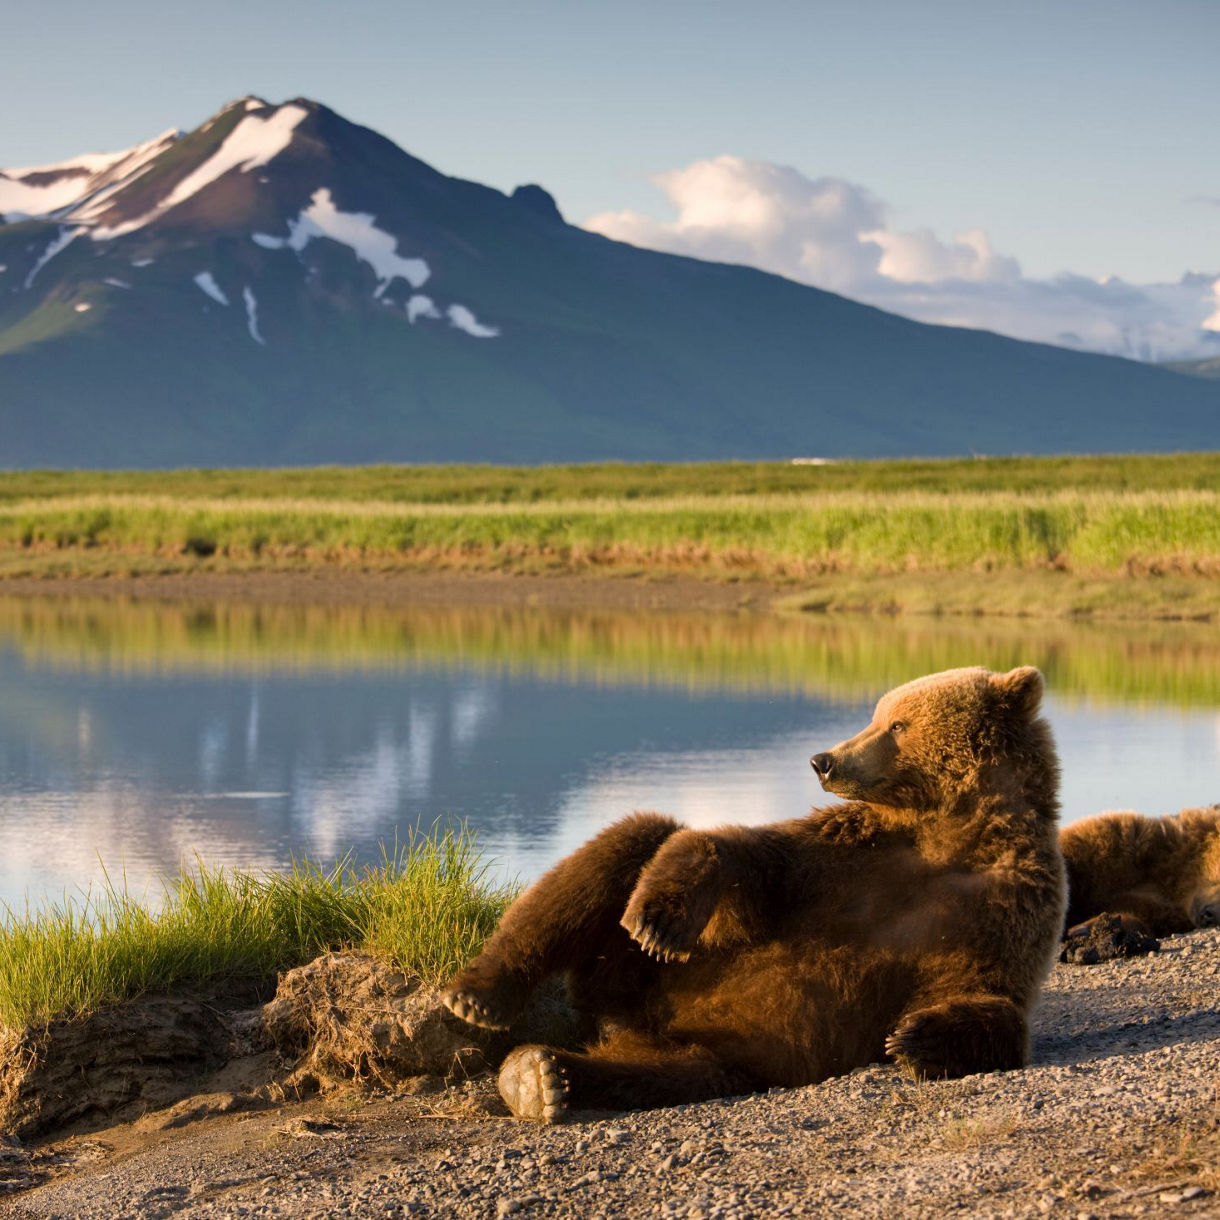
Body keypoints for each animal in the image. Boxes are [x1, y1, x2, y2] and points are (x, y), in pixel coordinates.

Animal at [442, 666, 1066, 1121]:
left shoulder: (1001, 905)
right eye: (878, 714)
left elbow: (989, 995)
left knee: (661, 1073)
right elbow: (751, 860)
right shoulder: (848, 858)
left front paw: (916, 1038)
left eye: (897, 724)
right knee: (629, 841)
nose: (824, 760)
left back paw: (542, 1077)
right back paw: (480, 998)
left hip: (713, 1048)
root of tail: (626, 1021)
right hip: (633, 971)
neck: (946, 834)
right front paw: (660, 921)